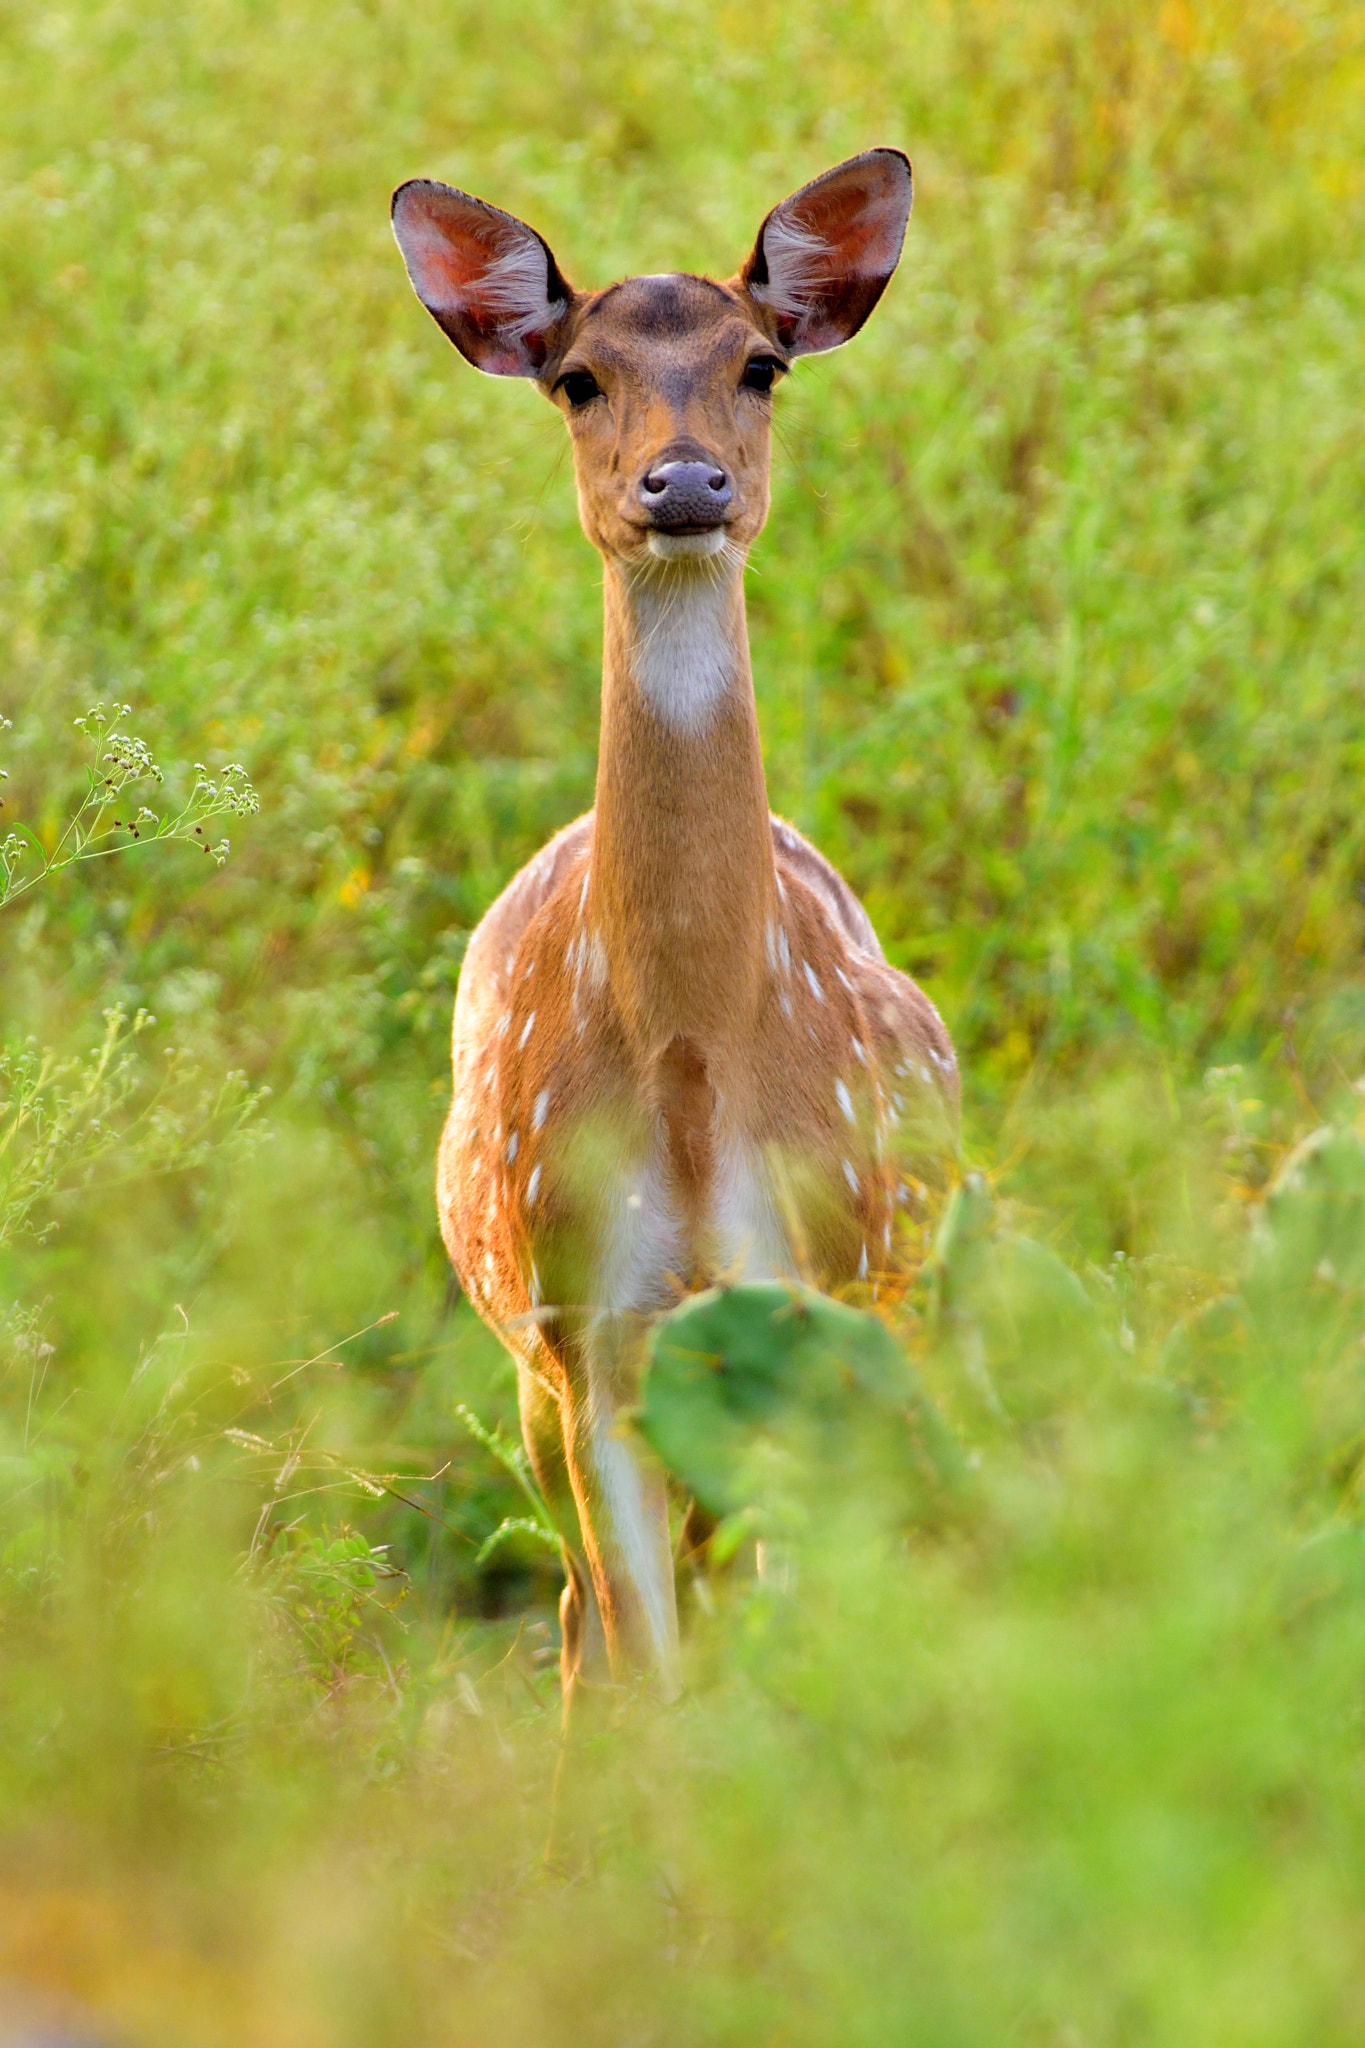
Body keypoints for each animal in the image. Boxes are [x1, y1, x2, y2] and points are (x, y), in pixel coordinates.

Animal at [391, 148, 959, 1716]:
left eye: (760, 364)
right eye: (577, 379)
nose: (688, 479)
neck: (700, 1062)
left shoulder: (804, 1288)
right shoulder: (585, 1318)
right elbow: (650, 1664)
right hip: (532, 1361)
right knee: (586, 1621)